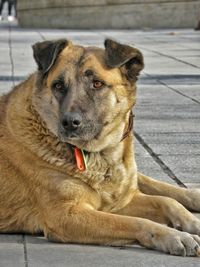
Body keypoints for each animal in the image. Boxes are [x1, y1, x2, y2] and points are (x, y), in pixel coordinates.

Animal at [0, 38, 200, 258]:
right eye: (58, 85)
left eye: (97, 84)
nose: (70, 122)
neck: (99, 155)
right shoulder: (67, 215)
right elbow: (135, 222)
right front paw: (174, 236)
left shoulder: (120, 200)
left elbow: (166, 200)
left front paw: (191, 222)